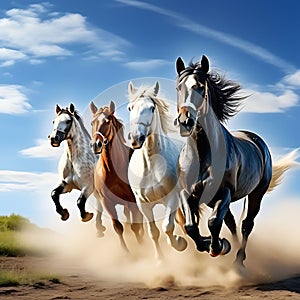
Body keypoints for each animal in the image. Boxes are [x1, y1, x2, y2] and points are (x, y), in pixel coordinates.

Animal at [48, 103, 106, 237]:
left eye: (68, 121)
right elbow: (54, 194)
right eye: (54, 121)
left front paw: (86, 216)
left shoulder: (88, 186)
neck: (74, 159)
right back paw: (99, 228)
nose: (54, 139)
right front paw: (64, 214)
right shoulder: (66, 185)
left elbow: (80, 201)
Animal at [89, 100, 144, 251]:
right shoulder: (107, 201)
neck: (112, 170)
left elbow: (135, 226)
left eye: (107, 122)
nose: (95, 145)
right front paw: (126, 252)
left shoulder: (132, 201)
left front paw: (141, 247)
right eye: (92, 123)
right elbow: (118, 227)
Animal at [127, 81, 188, 258]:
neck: (150, 166)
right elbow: (153, 232)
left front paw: (179, 243)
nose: (136, 138)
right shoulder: (143, 204)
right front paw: (161, 260)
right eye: (130, 108)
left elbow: (167, 227)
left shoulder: (172, 198)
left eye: (152, 108)